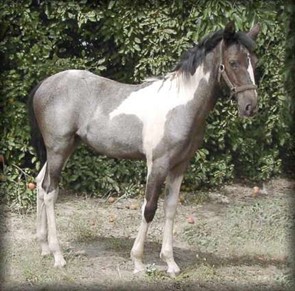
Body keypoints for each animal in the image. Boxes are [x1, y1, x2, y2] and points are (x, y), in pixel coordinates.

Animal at [27, 21, 260, 278]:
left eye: (254, 62)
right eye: (233, 62)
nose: (250, 106)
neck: (180, 105)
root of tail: (44, 84)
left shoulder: (180, 166)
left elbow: (171, 208)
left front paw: (170, 263)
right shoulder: (157, 164)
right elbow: (149, 208)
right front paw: (138, 261)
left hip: (62, 149)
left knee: (40, 184)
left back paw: (44, 247)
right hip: (59, 149)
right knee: (50, 192)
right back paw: (58, 256)